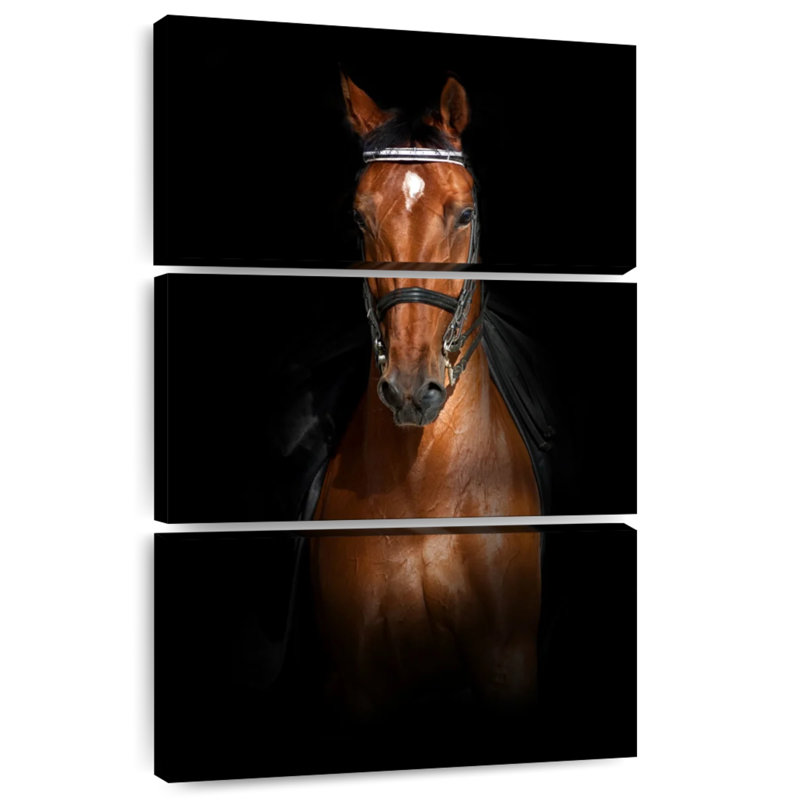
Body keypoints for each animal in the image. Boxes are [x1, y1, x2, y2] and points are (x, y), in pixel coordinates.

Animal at [310, 74, 543, 721]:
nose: (412, 389)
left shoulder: (507, 663)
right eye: (359, 219)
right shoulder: (361, 682)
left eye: (464, 214)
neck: (427, 491)